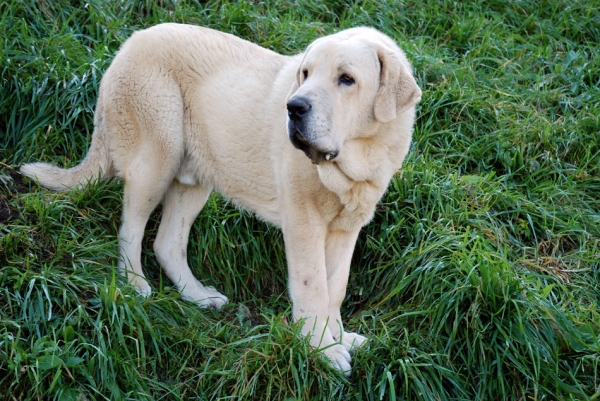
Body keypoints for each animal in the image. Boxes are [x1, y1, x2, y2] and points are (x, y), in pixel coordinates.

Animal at [19, 24, 422, 376]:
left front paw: (339, 339)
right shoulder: (303, 223)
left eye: (346, 79)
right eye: (306, 73)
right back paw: (135, 285)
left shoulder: (345, 229)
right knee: (131, 230)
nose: (294, 107)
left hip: (194, 180)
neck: (357, 157)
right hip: (155, 158)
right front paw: (322, 350)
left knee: (167, 243)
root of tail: (129, 44)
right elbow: (313, 287)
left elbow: (335, 289)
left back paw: (197, 296)